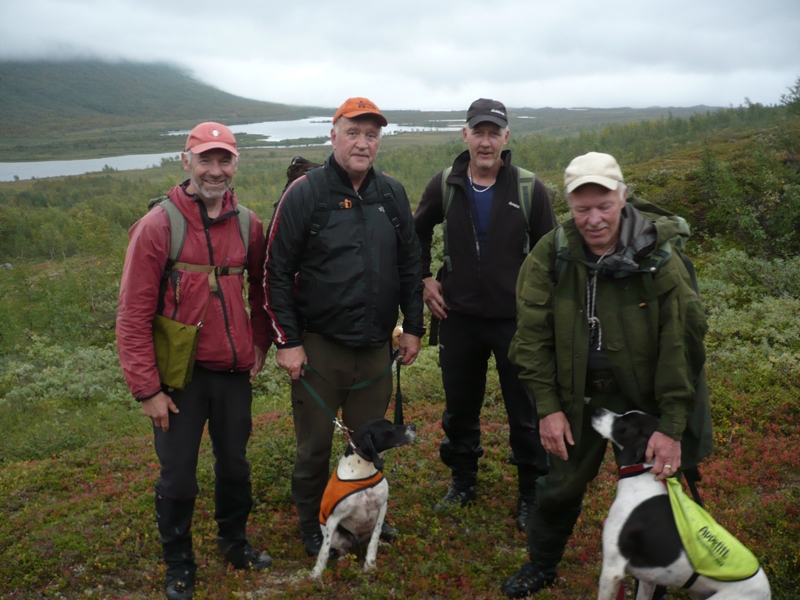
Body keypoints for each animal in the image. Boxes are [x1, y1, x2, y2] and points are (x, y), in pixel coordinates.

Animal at [310, 414, 416, 580]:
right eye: (390, 428)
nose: (414, 427)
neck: (363, 471)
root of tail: (357, 542)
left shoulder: (382, 507)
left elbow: (374, 540)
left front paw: (370, 565)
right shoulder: (333, 519)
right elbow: (323, 551)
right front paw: (317, 572)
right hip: (335, 535)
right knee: (342, 549)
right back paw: (342, 559)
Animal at [592, 408, 772, 600]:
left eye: (624, 422)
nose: (597, 410)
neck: (643, 475)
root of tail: (767, 593)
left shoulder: (612, 570)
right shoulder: (647, 579)